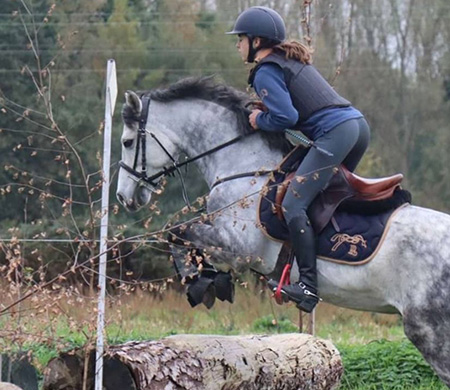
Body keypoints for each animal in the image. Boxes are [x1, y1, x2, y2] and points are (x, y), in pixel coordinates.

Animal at [115, 76, 450, 386]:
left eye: (127, 142)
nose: (123, 196)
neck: (245, 168)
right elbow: (179, 233)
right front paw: (211, 280)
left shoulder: (239, 247)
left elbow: (176, 230)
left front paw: (201, 283)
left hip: (430, 332)